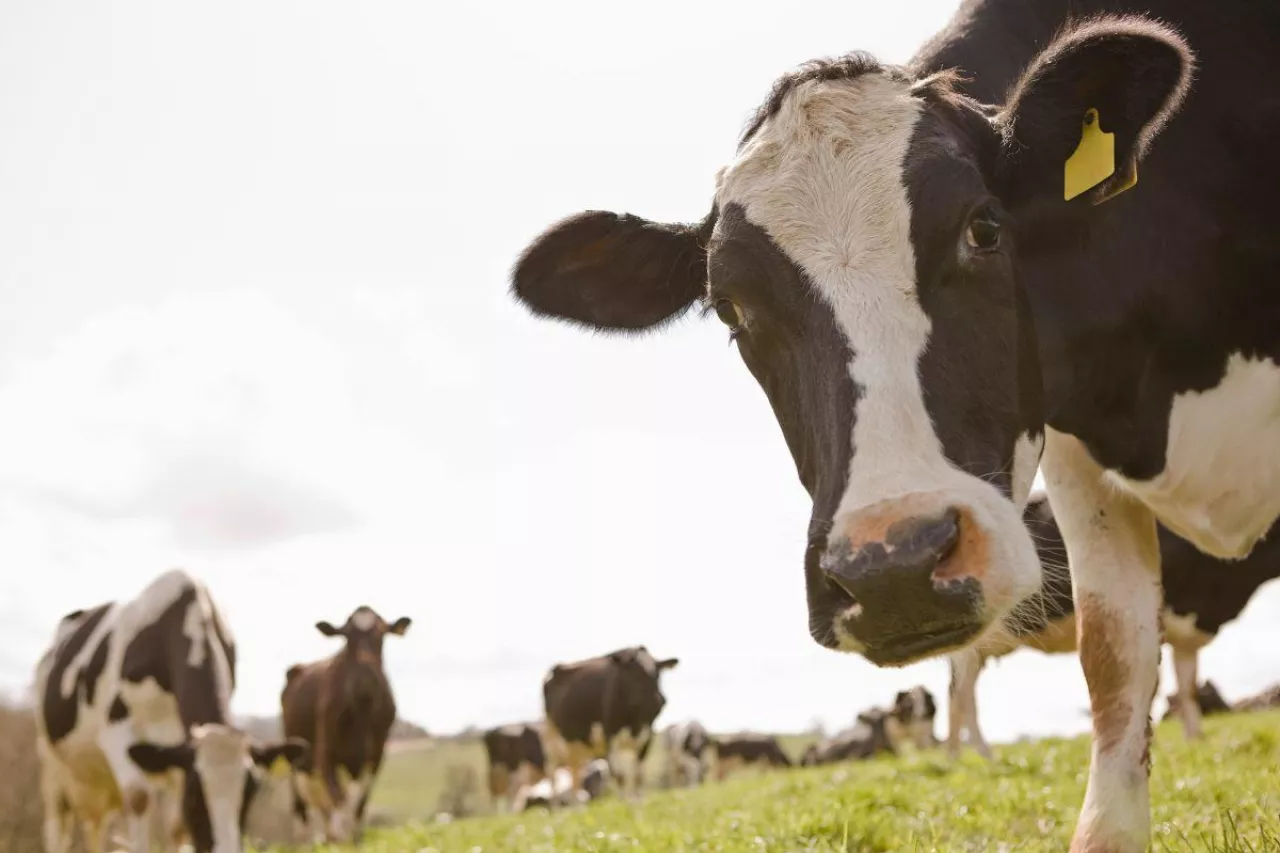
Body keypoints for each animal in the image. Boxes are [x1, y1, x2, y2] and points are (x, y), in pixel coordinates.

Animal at [32, 563, 307, 850]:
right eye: (195, 796)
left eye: (249, 794)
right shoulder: (117, 731)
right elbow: (139, 798)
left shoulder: (178, 749)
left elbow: (177, 827)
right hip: (51, 766)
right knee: (57, 825)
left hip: (99, 785)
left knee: (95, 827)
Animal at [280, 604, 409, 845]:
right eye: (347, 637)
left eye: (381, 635)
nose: (366, 679)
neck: (361, 712)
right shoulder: (326, 754)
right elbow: (338, 800)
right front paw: (340, 839)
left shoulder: (375, 757)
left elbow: (358, 803)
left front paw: (354, 839)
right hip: (298, 758)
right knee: (303, 805)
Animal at [540, 645, 680, 799]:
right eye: (635, 673)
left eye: (657, 673)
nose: (659, 700)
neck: (633, 721)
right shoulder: (610, 738)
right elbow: (619, 775)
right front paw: (624, 802)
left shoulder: (647, 736)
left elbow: (638, 775)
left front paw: (639, 801)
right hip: (551, 739)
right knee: (553, 775)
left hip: (576, 745)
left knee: (574, 772)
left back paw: (578, 804)